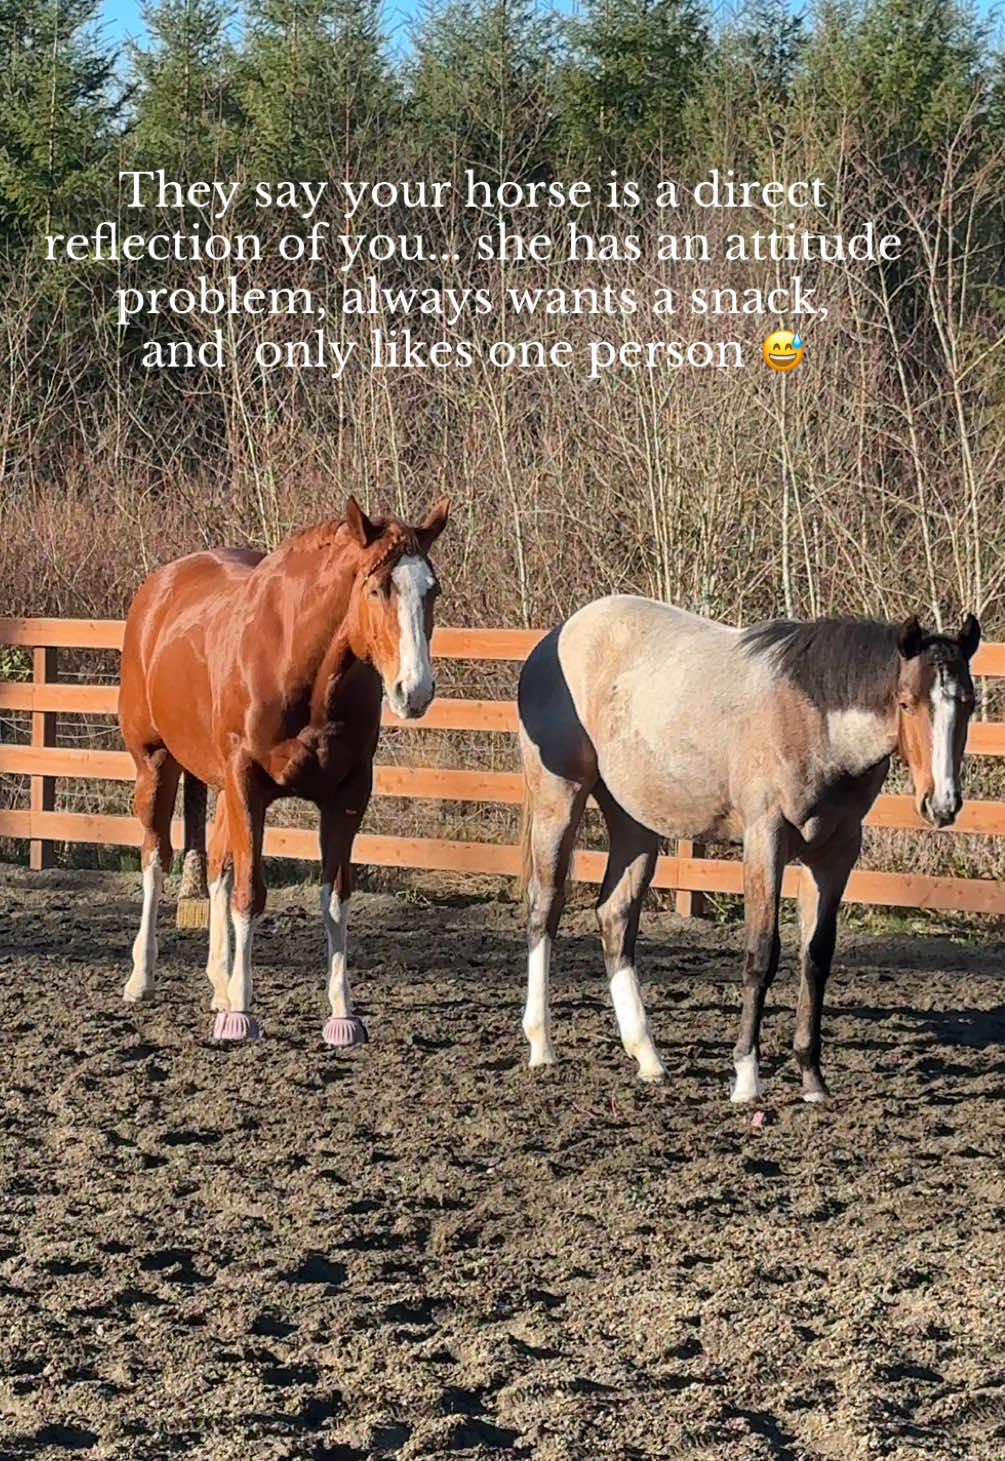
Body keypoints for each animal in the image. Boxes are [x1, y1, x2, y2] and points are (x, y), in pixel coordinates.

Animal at [118, 496, 449, 1044]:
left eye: (432, 589)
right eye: (376, 588)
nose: (414, 691)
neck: (301, 667)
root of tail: (158, 588)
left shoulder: (347, 795)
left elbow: (334, 897)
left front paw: (341, 1014)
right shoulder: (247, 785)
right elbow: (250, 893)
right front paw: (242, 1012)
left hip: (220, 789)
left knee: (216, 866)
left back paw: (219, 981)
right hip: (155, 764)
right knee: (156, 858)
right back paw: (142, 977)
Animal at [517, 597, 980, 1102]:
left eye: (968, 703)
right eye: (906, 702)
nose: (942, 803)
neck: (812, 720)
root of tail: (556, 638)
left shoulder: (834, 854)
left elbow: (816, 956)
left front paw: (812, 1079)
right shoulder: (765, 842)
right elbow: (761, 953)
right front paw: (746, 1077)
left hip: (634, 822)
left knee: (615, 916)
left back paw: (648, 1057)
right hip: (559, 800)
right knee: (545, 910)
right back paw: (541, 1046)